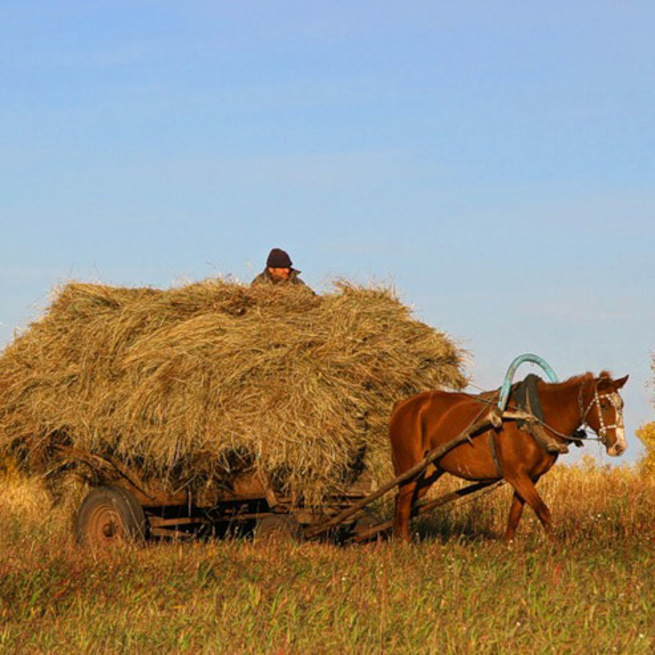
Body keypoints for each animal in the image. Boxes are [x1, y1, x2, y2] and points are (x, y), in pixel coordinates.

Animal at [392, 372, 628, 540]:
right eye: (604, 405)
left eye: (621, 405)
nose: (619, 446)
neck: (531, 418)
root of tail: (403, 405)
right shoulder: (515, 474)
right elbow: (543, 511)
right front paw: (554, 548)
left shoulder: (530, 477)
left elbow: (515, 514)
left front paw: (508, 547)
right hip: (410, 466)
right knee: (403, 502)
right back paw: (404, 544)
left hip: (430, 470)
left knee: (404, 500)